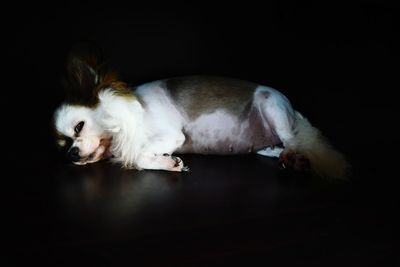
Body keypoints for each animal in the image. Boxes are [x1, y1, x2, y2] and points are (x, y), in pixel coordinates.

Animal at [52, 47, 346, 179]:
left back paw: (294, 159)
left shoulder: (171, 135)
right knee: (282, 146)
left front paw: (165, 161)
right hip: (264, 145)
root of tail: (294, 110)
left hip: (271, 104)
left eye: (78, 127)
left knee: (295, 141)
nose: (71, 155)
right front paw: (169, 163)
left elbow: (137, 154)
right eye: (63, 144)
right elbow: (141, 157)